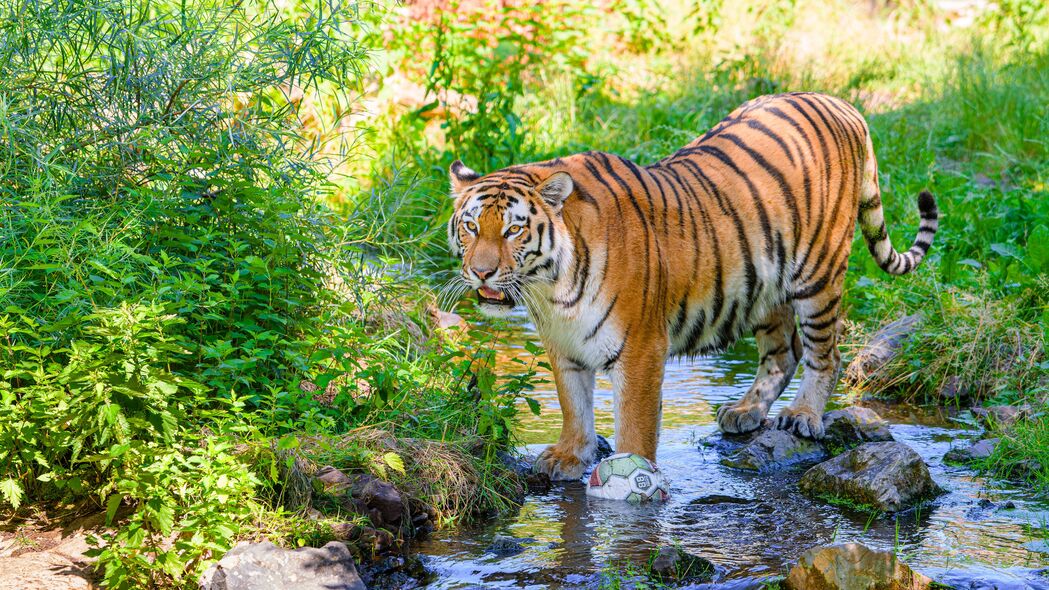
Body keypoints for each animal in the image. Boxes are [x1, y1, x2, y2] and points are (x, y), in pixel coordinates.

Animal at [446, 90, 939, 478]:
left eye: (513, 230)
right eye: (471, 226)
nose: (482, 271)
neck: (552, 290)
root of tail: (841, 103)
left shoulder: (641, 347)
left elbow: (635, 425)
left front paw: (632, 480)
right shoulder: (563, 346)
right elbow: (574, 406)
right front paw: (570, 457)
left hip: (818, 274)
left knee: (825, 353)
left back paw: (802, 415)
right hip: (763, 285)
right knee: (784, 351)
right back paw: (745, 412)